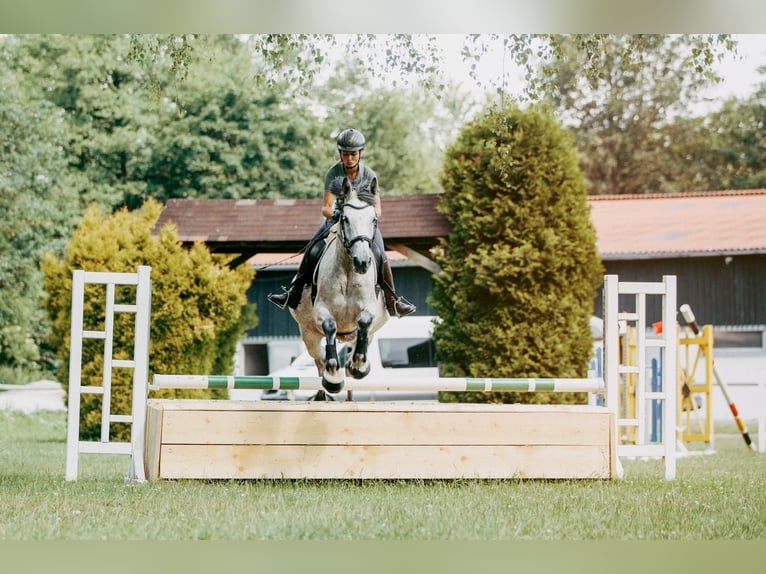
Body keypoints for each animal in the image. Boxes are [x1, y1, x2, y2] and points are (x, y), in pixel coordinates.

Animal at [292, 178, 392, 398]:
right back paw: (327, 382)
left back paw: (355, 365)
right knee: (318, 356)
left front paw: (359, 364)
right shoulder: (321, 310)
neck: (347, 271)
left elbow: (364, 321)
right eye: (345, 219)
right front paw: (333, 377)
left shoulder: (369, 308)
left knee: (362, 338)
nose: (362, 262)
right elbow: (330, 326)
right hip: (308, 334)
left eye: (374, 219)